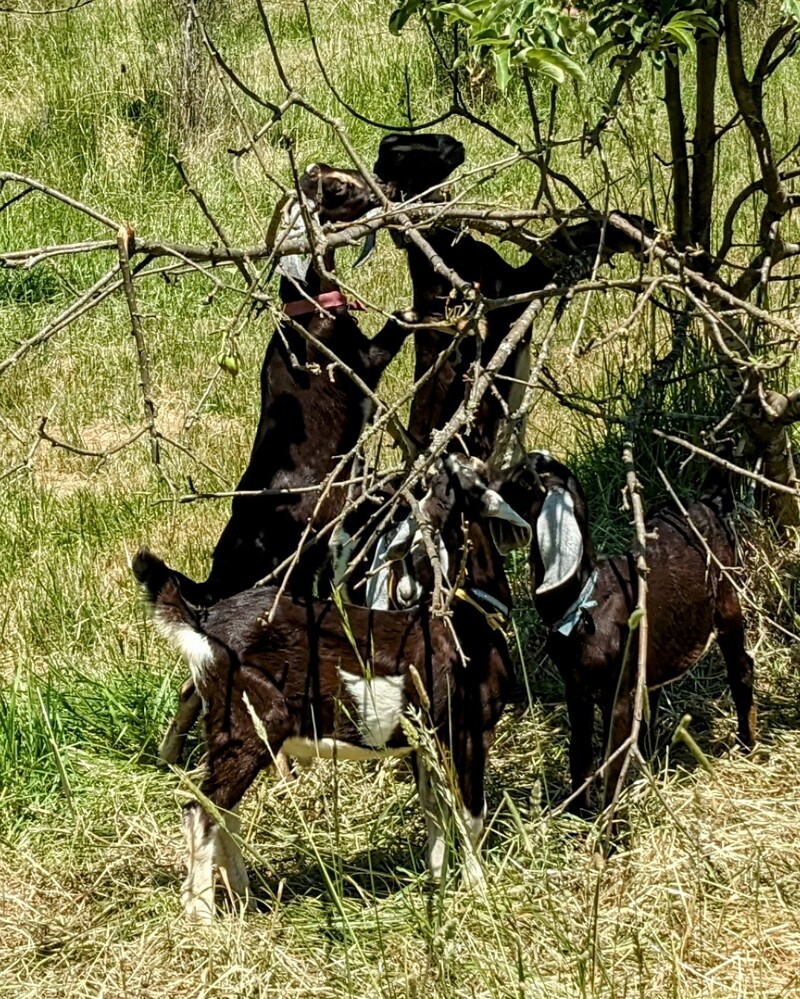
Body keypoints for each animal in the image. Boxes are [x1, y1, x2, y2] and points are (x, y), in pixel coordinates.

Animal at [133, 458, 532, 924]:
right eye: (464, 485)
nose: (457, 460)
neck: (466, 617)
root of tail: (203, 625)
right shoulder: (466, 728)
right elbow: (470, 814)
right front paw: (480, 892)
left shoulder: (424, 741)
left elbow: (434, 810)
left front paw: (438, 881)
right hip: (251, 724)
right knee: (202, 810)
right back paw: (202, 916)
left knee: (223, 810)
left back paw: (244, 894)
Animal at [500, 454, 756, 812]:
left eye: (523, 479)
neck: (585, 601)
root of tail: (708, 499)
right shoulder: (575, 687)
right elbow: (580, 752)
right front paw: (578, 812)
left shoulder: (615, 695)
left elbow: (613, 760)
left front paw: (609, 820)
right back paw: (649, 753)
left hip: (727, 601)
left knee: (741, 668)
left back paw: (747, 744)